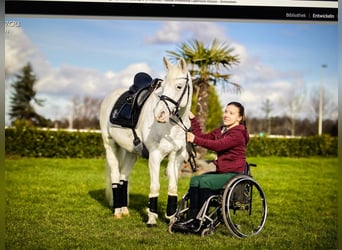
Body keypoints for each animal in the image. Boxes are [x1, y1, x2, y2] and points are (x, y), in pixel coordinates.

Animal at [100, 57, 194, 227]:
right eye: (163, 86)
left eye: (179, 86)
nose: (160, 114)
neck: (172, 125)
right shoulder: (155, 156)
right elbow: (155, 186)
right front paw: (152, 218)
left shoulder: (177, 156)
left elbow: (173, 187)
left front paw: (171, 218)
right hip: (110, 145)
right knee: (116, 176)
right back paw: (117, 211)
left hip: (131, 152)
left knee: (124, 176)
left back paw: (124, 209)